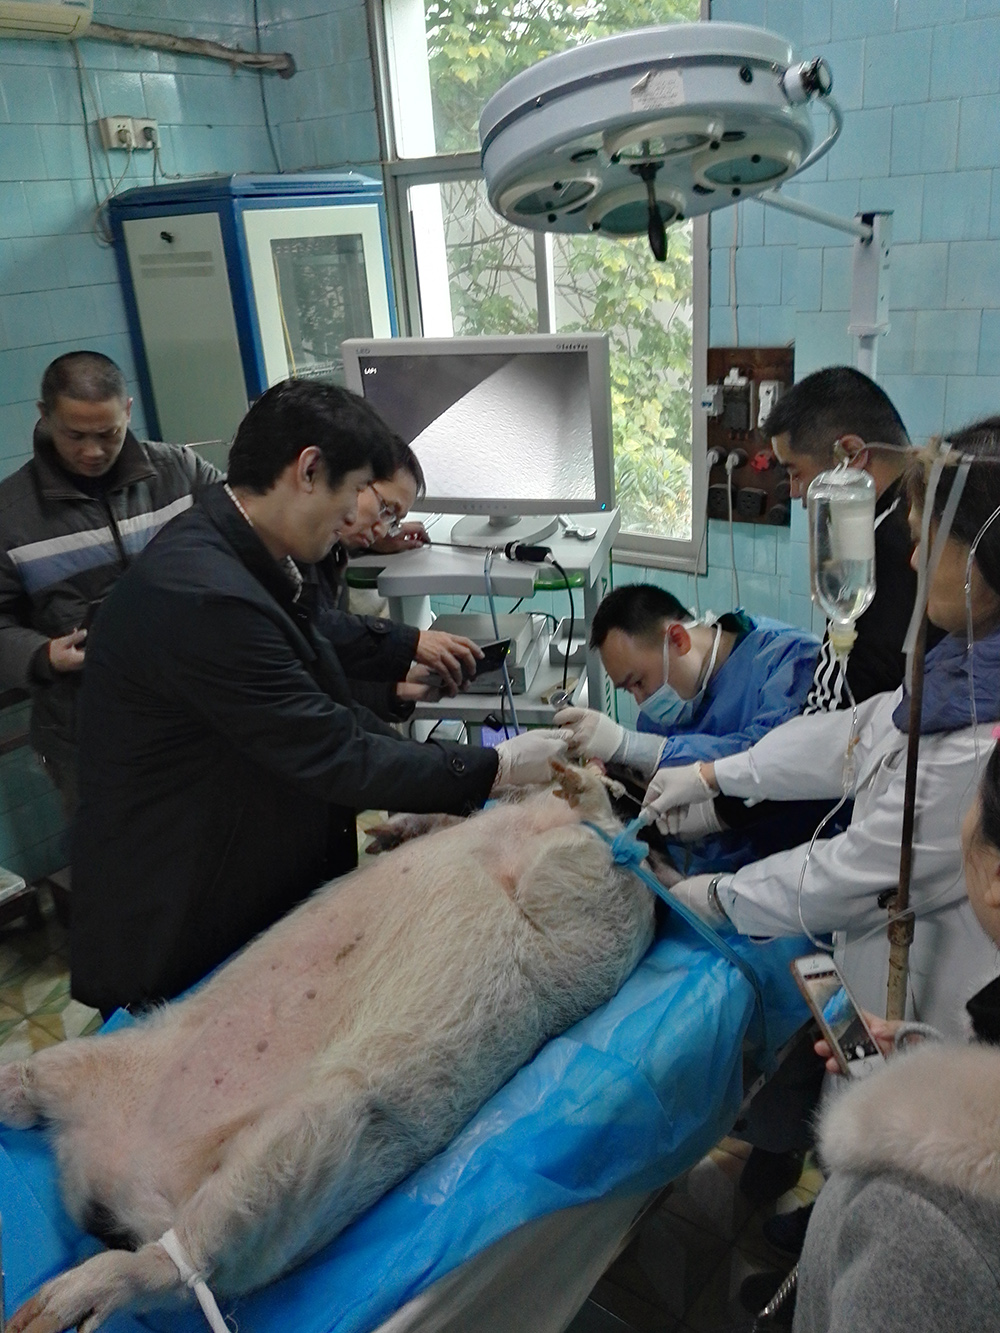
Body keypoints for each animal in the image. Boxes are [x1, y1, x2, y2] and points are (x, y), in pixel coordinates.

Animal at [0, 763, 654, 1333]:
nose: (604, 772)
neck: (527, 831)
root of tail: (103, 1187)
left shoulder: (607, 930)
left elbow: (593, 869)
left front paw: (583, 788)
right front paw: (390, 832)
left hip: (300, 1151)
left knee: (178, 1265)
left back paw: (43, 1314)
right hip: (115, 1057)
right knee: (36, 1088)